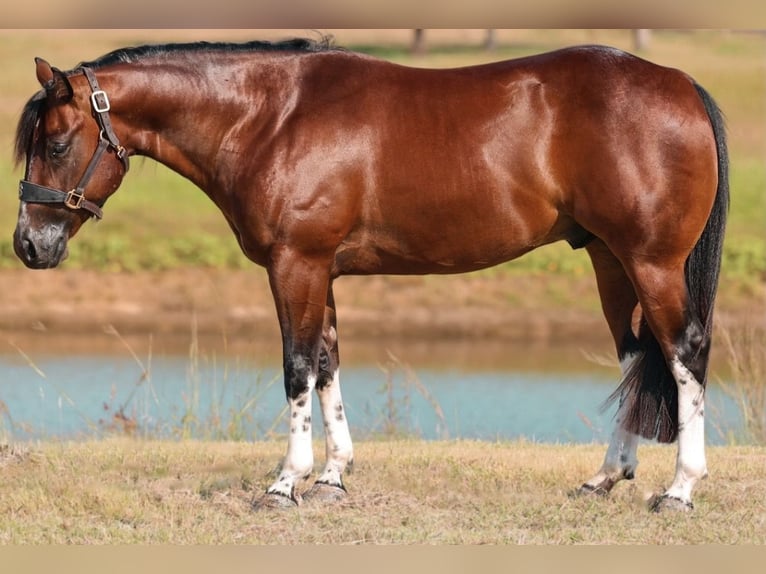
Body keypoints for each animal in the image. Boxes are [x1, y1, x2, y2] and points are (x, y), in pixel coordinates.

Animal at [12, 37, 728, 512]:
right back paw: (605, 477)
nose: (27, 246)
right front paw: (332, 476)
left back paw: (680, 489)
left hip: (651, 262)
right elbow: (328, 362)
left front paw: (285, 483)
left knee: (684, 352)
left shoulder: (295, 265)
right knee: (636, 355)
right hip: (610, 259)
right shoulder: (319, 270)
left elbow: (297, 366)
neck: (271, 118)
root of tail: (682, 85)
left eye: (56, 144)